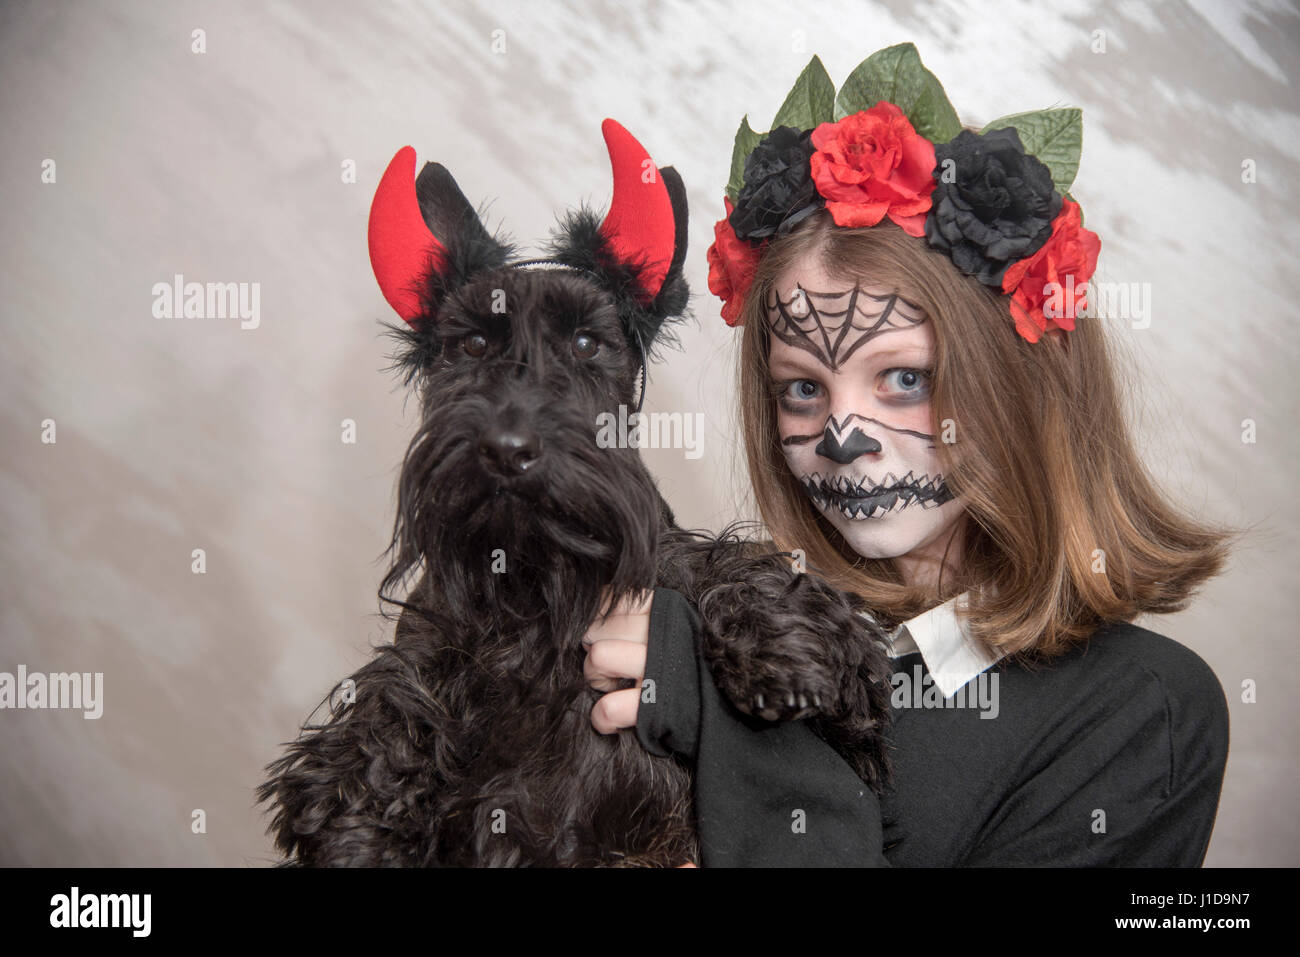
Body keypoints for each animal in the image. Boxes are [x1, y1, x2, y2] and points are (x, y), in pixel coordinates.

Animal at [258, 119, 899, 868]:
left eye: (589, 342)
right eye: (471, 345)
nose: (508, 450)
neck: (539, 582)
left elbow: (730, 569)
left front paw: (781, 640)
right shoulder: (433, 635)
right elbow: (394, 689)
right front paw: (360, 802)